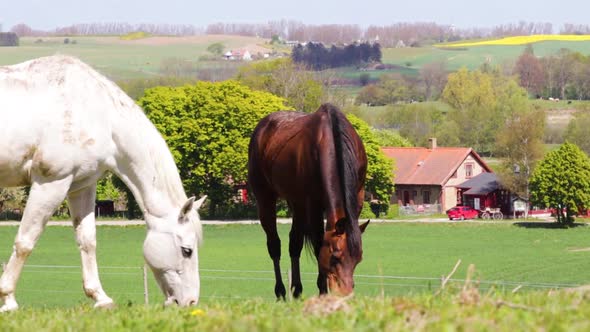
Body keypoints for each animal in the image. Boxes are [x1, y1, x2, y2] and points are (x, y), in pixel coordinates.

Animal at [0, 55, 207, 312]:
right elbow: (25, 241)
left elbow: (87, 241)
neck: (96, 112)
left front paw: (101, 298)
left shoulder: (81, 187)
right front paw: (8, 299)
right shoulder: (50, 184)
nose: (190, 302)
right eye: (187, 251)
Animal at [246, 103, 368, 298]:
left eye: (359, 258)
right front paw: (323, 291)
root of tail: (263, 126)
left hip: (297, 204)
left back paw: (296, 289)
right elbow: (318, 244)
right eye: (335, 257)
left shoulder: (357, 198)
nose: (345, 294)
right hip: (266, 199)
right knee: (274, 244)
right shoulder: (313, 205)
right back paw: (281, 291)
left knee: (294, 242)